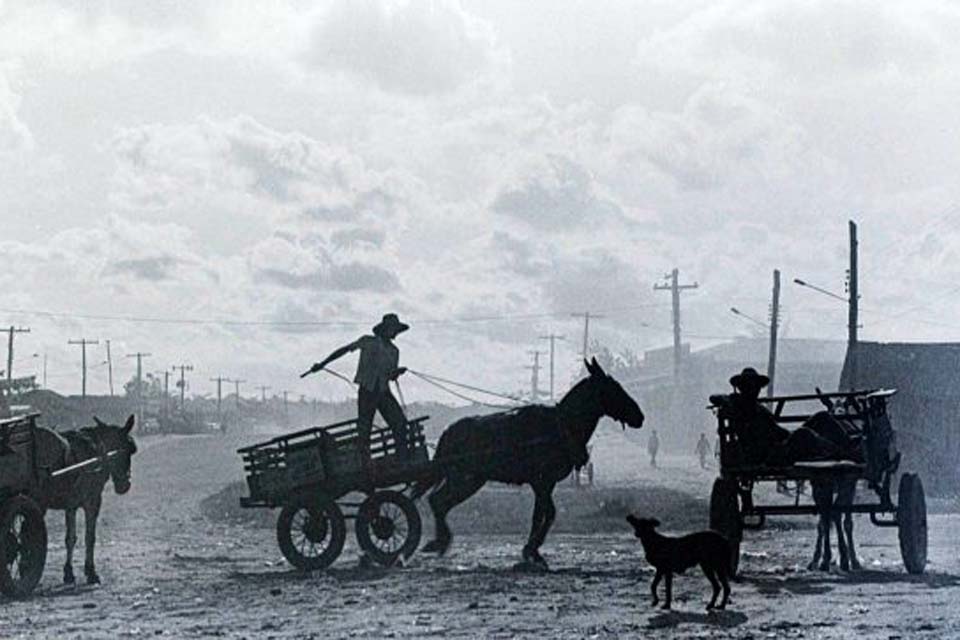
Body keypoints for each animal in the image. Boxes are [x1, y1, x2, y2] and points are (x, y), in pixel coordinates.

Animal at [32, 415, 138, 585]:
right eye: (126, 450)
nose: (124, 486)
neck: (95, 453)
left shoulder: (72, 505)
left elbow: (76, 538)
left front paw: (72, 572)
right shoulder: (90, 502)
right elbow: (86, 537)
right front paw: (88, 572)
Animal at [412, 358, 645, 568]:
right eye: (614, 388)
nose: (639, 417)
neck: (561, 426)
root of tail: (450, 431)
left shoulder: (545, 483)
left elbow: (544, 514)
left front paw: (532, 550)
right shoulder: (541, 481)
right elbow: (545, 514)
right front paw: (531, 550)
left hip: (470, 480)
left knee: (439, 502)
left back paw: (440, 542)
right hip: (464, 478)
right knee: (438, 501)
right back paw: (438, 542)